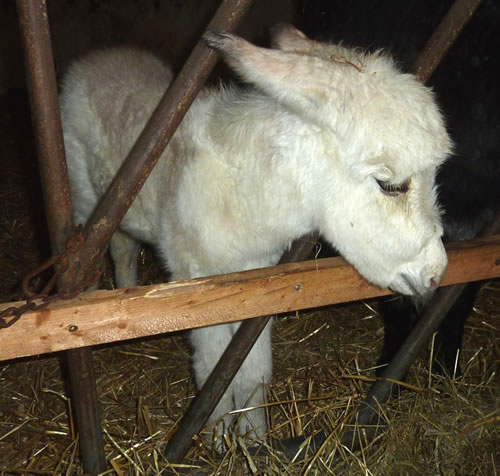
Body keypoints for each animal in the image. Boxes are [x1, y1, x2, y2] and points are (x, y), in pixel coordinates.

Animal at [59, 24, 452, 443]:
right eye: (390, 186)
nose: (436, 273)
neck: (245, 190)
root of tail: (101, 56)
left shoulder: (257, 287)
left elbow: (253, 373)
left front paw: (253, 438)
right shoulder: (198, 285)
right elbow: (212, 373)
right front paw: (215, 439)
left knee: (126, 247)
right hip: (85, 197)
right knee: (107, 252)